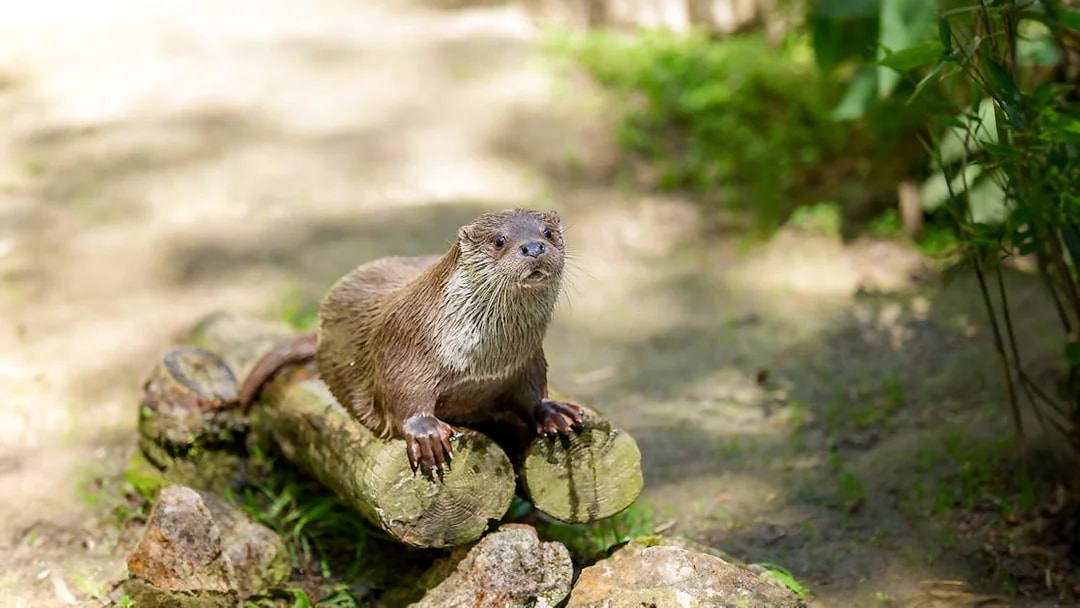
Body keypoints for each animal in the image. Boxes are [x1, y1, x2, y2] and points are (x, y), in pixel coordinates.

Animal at [237, 208, 584, 472]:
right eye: (499, 240)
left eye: (548, 233)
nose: (534, 247)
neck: (485, 363)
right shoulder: (405, 345)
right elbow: (402, 393)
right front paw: (426, 432)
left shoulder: (528, 360)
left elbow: (532, 391)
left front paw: (552, 411)